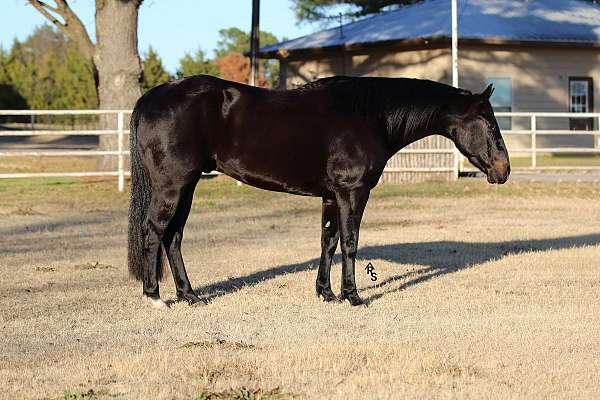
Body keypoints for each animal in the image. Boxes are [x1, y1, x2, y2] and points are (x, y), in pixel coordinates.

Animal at [126, 76, 510, 306]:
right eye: (488, 122)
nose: (504, 169)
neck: (368, 114)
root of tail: (150, 98)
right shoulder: (353, 192)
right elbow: (351, 242)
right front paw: (353, 296)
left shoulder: (331, 195)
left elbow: (329, 241)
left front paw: (326, 293)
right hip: (172, 186)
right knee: (153, 231)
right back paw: (155, 297)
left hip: (187, 187)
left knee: (173, 237)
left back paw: (190, 295)